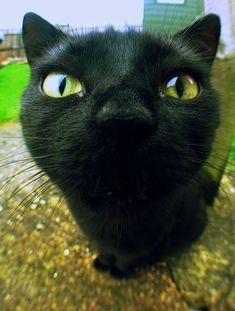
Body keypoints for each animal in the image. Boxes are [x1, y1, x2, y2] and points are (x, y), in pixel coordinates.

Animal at [20, 12, 220, 276]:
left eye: (181, 86)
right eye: (61, 85)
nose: (124, 117)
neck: (114, 224)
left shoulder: (149, 238)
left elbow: (131, 258)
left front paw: (120, 272)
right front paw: (103, 262)